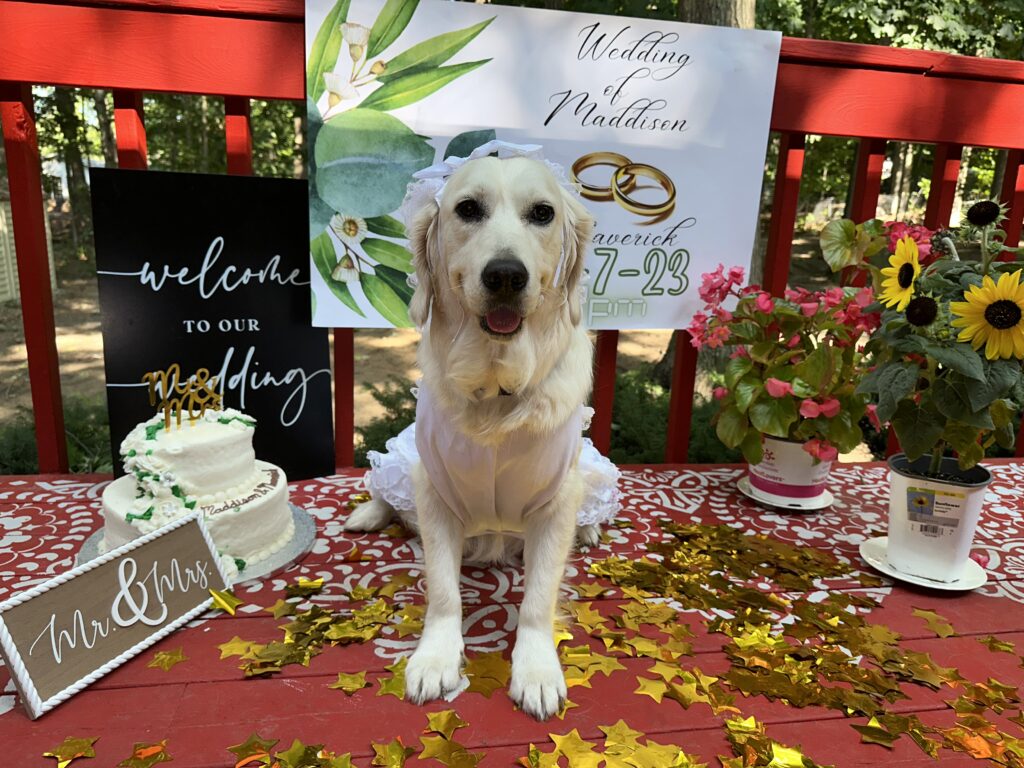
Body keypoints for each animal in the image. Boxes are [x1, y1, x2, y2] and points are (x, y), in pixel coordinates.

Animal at [345, 154, 596, 719]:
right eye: (467, 209)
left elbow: (538, 598)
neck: (497, 391)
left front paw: (537, 671)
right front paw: (436, 658)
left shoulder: (557, 503)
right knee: (386, 491)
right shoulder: (434, 491)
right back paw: (368, 513)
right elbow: (443, 591)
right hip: (404, 463)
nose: (505, 274)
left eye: (542, 213)